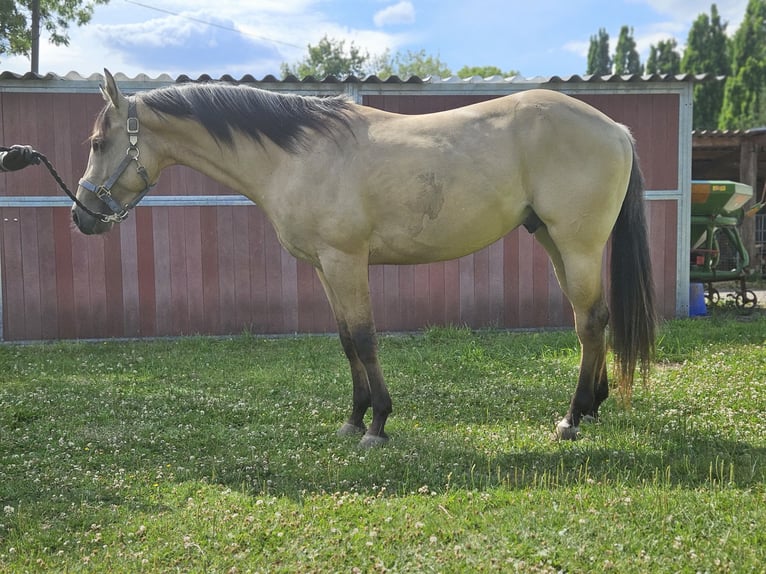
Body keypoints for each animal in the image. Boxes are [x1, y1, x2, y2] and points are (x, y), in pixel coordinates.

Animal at [73, 69, 656, 447]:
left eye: (99, 142)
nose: (82, 215)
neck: (298, 153)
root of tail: (617, 129)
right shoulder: (325, 267)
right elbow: (346, 340)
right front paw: (353, 419)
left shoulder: (346, 261)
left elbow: (365, 337)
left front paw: (377, 424)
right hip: (554, 242)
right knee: (593, 321)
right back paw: (593, 406)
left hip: (577, 245)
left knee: (589, 322)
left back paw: (572, 418)